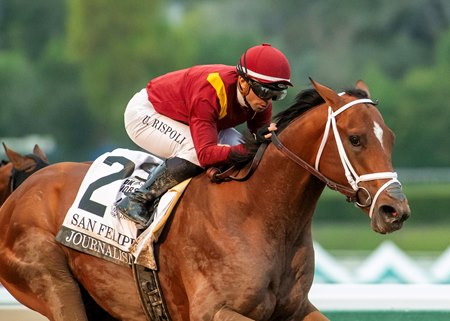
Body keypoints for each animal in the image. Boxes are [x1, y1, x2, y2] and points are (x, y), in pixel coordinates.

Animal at [0, 79, 410, 320]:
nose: (395, 211)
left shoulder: (295, 310)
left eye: (390, 137)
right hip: (55, 286)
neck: (260, 214)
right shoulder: (214, 311)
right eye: (356, 138)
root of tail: (23, 189)